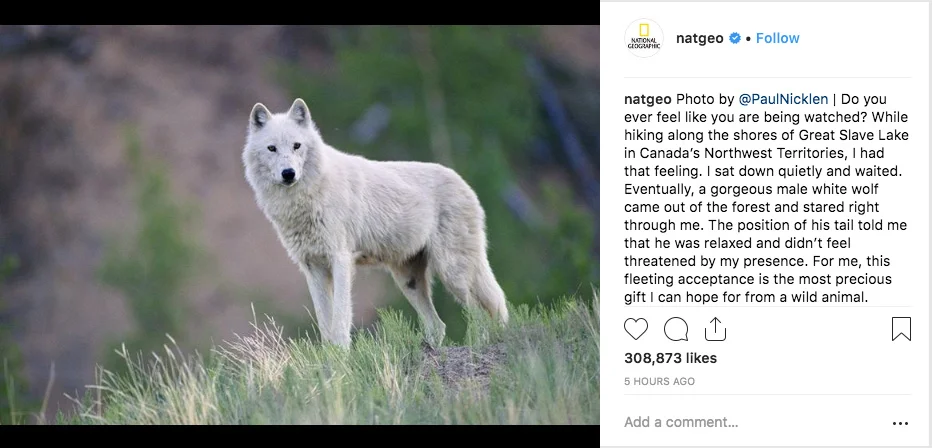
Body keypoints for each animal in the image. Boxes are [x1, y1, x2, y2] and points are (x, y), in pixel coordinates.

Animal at [242, 98, 509, 348]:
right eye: (272, 148)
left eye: (296, 146)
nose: (288, 173)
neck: (306, 198)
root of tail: (465, 184)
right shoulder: (312, 267)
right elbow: (324, 323)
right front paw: (329, 356)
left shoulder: (340, 260)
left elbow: (340, 320)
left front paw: (342, 355)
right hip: (408, 281)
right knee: (439, 325)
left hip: (452, 273)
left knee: (483, 311)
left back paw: (478, 345)